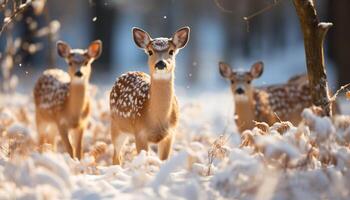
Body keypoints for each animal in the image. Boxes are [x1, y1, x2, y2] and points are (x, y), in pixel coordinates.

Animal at [109, 26, 190, 164]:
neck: (157, 121)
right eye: (150, 52)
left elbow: (163, 161)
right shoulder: (140, 133)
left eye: (171, 51)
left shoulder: (170, 134)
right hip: (116, 126)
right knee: (116, 156)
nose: (161, 63)